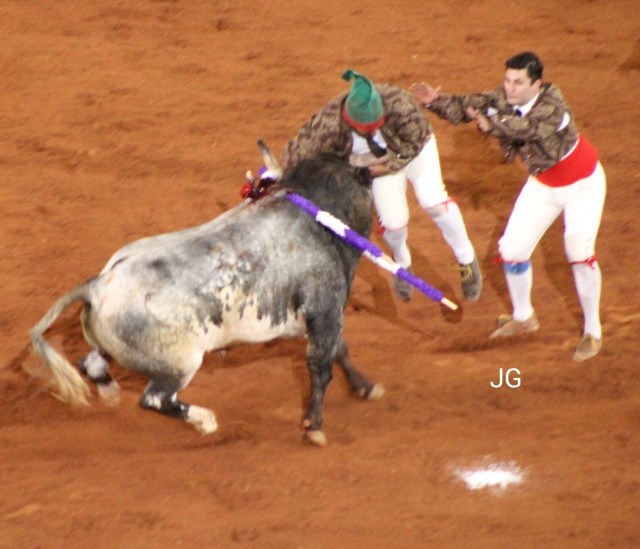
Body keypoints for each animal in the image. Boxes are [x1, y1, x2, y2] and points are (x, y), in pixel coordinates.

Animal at [29, 141, 383, 446]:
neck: (317, 214)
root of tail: (98, 285)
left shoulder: (322, 318)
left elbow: (341, 350)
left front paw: (365, 387)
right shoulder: (325, 311)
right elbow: (322, 367)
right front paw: (315, 427)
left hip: (116, 348)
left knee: (91, 363)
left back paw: (111, 393)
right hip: (181, 363)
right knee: (154, 398)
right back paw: (206, 421)